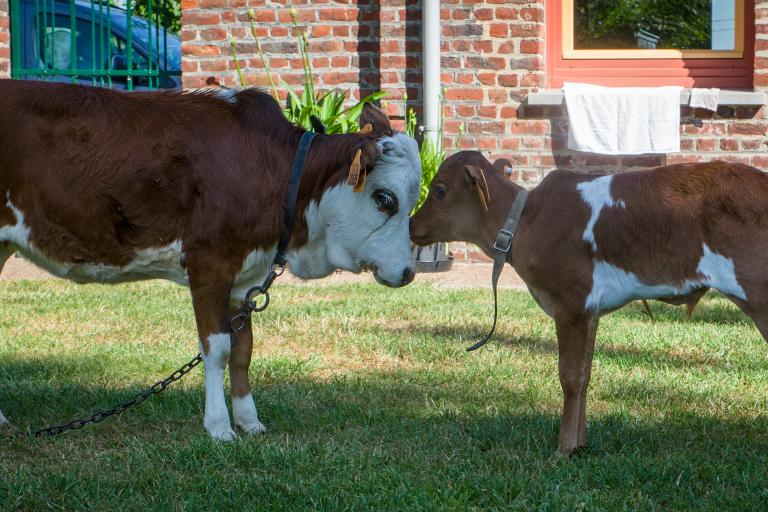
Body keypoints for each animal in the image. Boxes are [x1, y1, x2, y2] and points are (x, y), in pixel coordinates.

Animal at [0, 81, 420, 440]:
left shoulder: (242, 279)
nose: (408, 272)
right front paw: (218, 426)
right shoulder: (209, 263)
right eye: (384, 198)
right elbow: (216, 349)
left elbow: (243, 350)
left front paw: (249, 421)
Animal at [412, 150, 768, 454]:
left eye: (439, 189)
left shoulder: (570, 304)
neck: (527, 222)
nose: (411, 225)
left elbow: (569, 377)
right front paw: (580, 444)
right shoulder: (590, 312)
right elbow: (585, 375)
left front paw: (564, 448)